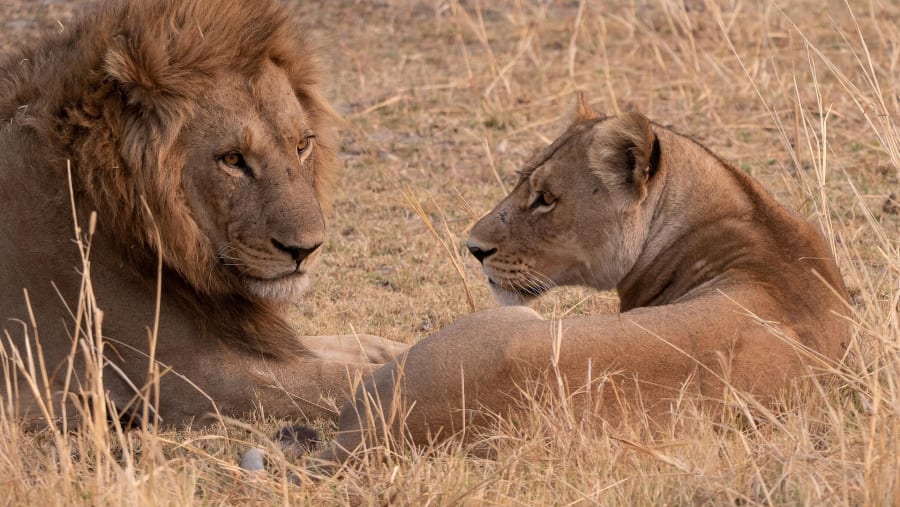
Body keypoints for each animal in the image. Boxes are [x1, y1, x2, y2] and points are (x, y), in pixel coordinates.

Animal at [0, 0, 407, 427]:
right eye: (233, 159)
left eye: (302, 145)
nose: (306, 250)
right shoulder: (198, 378)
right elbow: (351, 379)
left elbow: (358, 346)